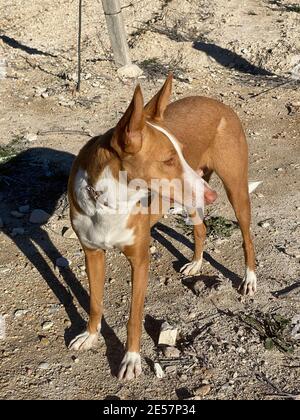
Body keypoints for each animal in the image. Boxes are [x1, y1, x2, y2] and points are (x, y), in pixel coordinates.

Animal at [67, 74, 255, 380]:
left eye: (180, 153)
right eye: (168, 160)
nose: (211, 196)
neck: (110, 203)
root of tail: (219, 103)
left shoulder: (140, 260)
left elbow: (134, 317)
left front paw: (131, 359)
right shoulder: (92, 253)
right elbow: (95, 302)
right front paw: (91, 335)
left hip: (234, 189)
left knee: (247, 238)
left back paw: (249, 279)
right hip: (192, 196)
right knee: (201, 229)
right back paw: (196, 262)